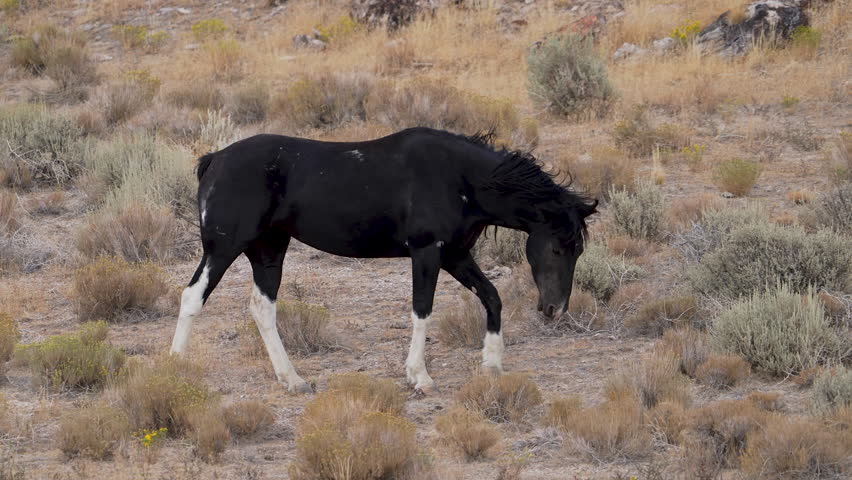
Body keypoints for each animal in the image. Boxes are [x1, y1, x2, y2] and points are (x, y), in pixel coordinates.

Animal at [169, 127, 597, 393]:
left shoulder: (455, 254)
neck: (457, 177)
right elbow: (422, 309)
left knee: (262, 307)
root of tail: (214, 159)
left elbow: (491, 296)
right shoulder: (427, 252)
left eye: (577, 250)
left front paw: (491, 364)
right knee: (193, 297)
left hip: (269, 249)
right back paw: (173, 370)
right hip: (224, 248)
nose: (554, 309)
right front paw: (419, 377)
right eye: (557, 248)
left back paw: (293, 380)